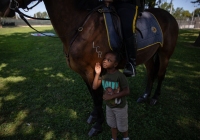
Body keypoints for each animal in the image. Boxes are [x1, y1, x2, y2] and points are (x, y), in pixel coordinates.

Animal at [0, 0, 178, 136]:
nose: (4, 8)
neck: (81, 25)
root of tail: (169, 16)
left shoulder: (92, 70)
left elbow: (98, 96)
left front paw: (97, 126)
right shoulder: (84, 72)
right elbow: (93, 95)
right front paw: (94, 117)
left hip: (165, 54)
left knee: (161, 74)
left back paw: (154, 98)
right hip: (149, 54)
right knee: (151, 72)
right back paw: (145, 95)